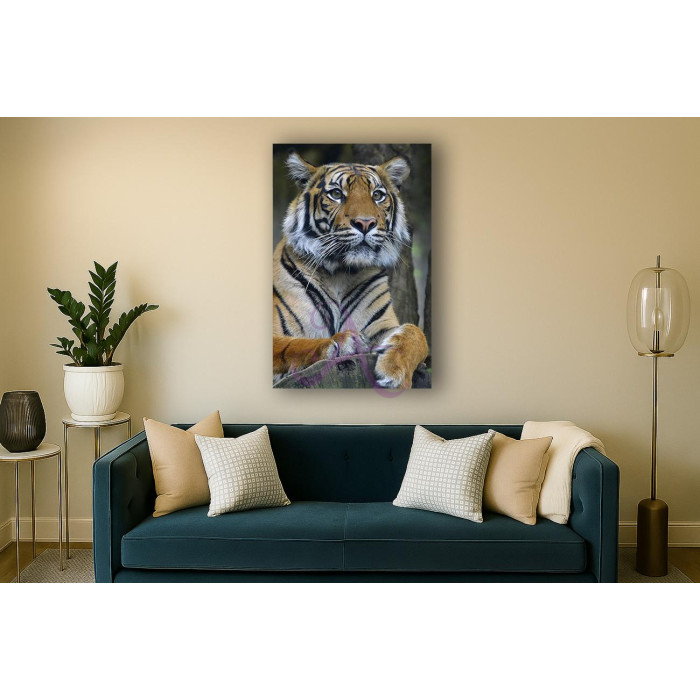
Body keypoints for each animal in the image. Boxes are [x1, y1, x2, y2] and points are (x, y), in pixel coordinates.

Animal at [273, 151, 429, 389]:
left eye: (377, 195)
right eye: (336, 194)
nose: (365, 223)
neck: (340, 273)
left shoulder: (382, 326)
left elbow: (416, 334)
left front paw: (396, 372)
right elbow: (293, 345)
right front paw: (341, 343)